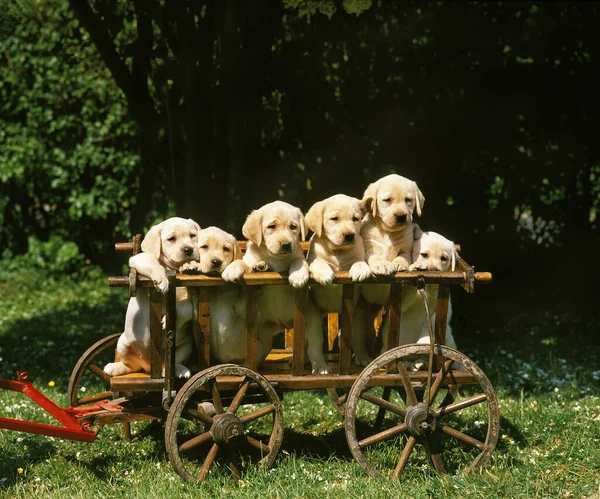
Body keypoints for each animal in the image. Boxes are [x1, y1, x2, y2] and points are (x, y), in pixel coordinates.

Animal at [105, 218, 202, 378]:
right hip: (123, 343)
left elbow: (186, 307)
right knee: (131, 365)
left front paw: (191, 264)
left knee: (172, 364)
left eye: (193, 235)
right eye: (171, 239)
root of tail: (149, 367)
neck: (173, 269)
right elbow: (154, 265)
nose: (188, 250)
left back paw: (180, 370)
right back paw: (115, 368)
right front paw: (162, 279)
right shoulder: (139, 258)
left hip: (185, 347)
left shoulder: (195, 297)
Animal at [182, 226, 250, 364]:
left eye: (226, 249)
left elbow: (241, 263)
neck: (216, 290)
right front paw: (190, 265)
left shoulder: (242, 309)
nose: (216, 262)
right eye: (204, 247)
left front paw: (233, 269)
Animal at [241, 201, 330, 374]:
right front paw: (247, 267)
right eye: (272, 226)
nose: (286, 244)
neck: (275, 258)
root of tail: (282, 325)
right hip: (260, 331)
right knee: (261, 349)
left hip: (312, 322)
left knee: (313, 347)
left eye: (293, 227)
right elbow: (244, 263)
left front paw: (298, 275)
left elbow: (299, 261)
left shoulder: (299, 255)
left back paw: (319, 366)